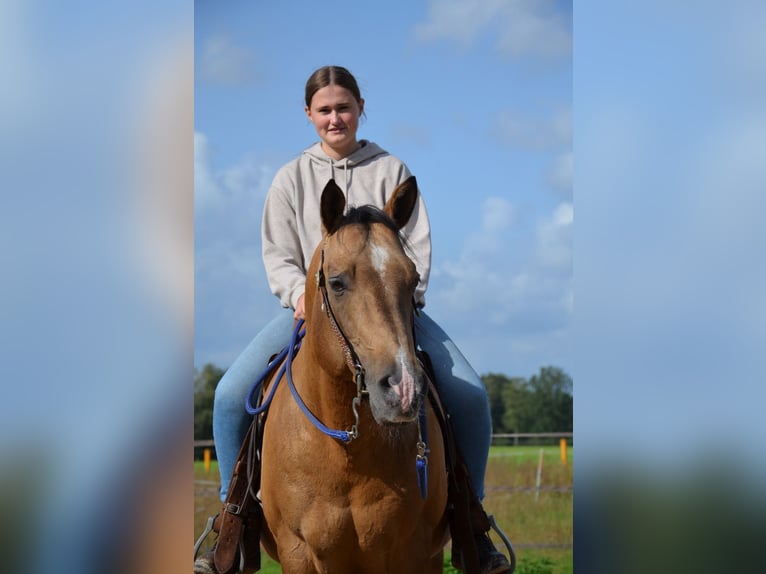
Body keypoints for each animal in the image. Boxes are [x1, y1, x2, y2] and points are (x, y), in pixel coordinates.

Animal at [259, 176, 449, 573]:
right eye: (336, 282)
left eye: (413, 280)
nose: (404, 389)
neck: (345, 449)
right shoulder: (297, 552)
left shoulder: (413, 552)